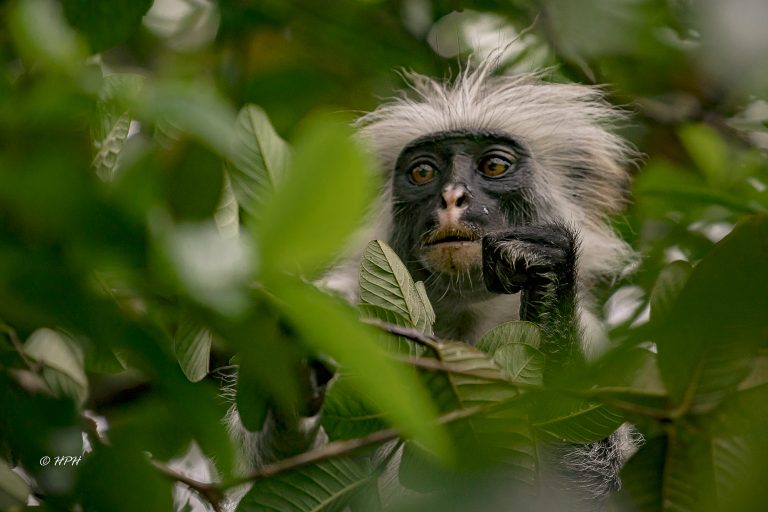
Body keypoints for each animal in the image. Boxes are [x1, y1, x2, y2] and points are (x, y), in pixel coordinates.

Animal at [207, 60, 640, 512]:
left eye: (494, 167)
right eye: (423, 172)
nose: (452, 197)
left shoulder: (590, 339)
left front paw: (548, 281)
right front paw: (294, 367)